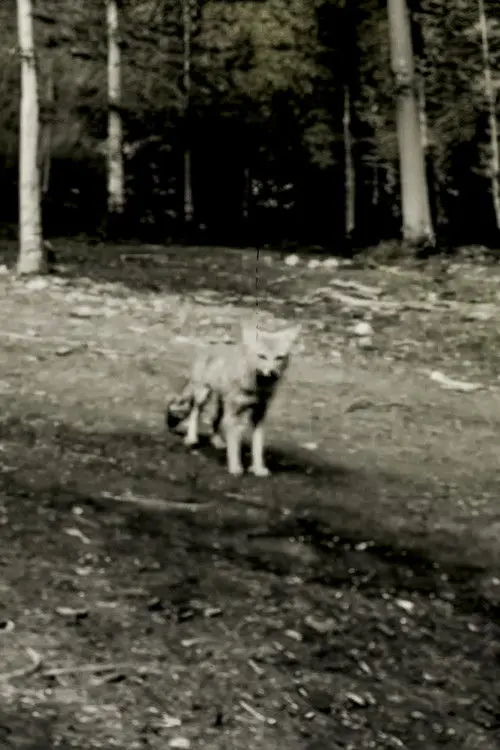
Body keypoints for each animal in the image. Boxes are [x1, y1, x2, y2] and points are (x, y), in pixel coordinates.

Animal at [166, 320, 301, 476]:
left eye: (279, 358)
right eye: (262, 356)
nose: (272, 373)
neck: (256, 389)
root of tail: (212, 345)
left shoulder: (259, 415)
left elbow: (258, 447)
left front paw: (258, 468)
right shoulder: (234, 414)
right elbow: (234, 445)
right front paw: (235, 467)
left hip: (222, 404)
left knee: (214, 420)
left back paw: (216, 441)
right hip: (204, 396)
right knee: (195, 412)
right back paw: (192, 438)